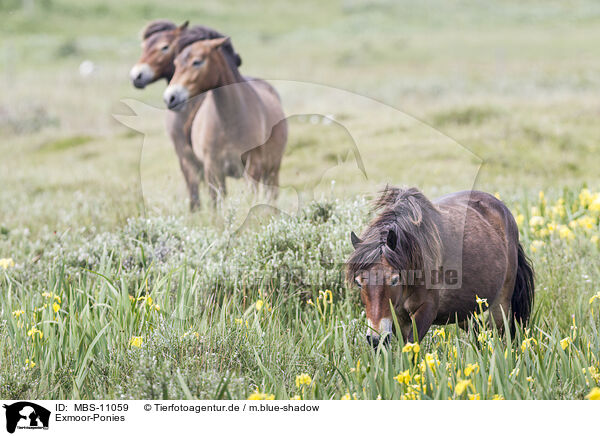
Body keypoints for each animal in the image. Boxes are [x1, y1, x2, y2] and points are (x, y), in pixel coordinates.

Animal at [163, 35, 288, 204]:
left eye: (197, 62)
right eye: (175, 64)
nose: (170, 97)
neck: (229, 122)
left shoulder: (253, 166)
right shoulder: (213, 169)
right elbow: (216, 202)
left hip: (272, 168)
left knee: (271, 195)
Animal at [346, 186, 536, 348]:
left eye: (394, 280)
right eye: (359, 283)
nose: (376, 338)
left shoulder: (427, 310)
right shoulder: (398, 317)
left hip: (501, 304)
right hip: (464, 313)